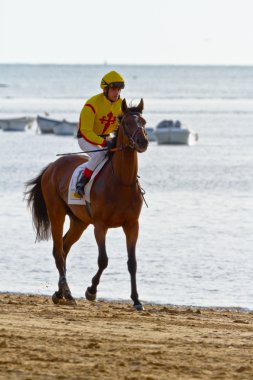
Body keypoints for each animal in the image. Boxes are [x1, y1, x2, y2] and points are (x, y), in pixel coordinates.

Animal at [25, 99, 148, 310]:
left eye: (144, 121)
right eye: (126, 123)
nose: (143, 142)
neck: (121, 182)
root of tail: (51, 167)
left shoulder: (132, 225)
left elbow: (132, 263)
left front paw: (136, 300)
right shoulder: (100, 225)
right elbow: (103, 260)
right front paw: (91, 291)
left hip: (79, 221)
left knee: (65, 247)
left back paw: (61, 292)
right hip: (56, 213)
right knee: (58, 250)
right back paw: (65, 291)